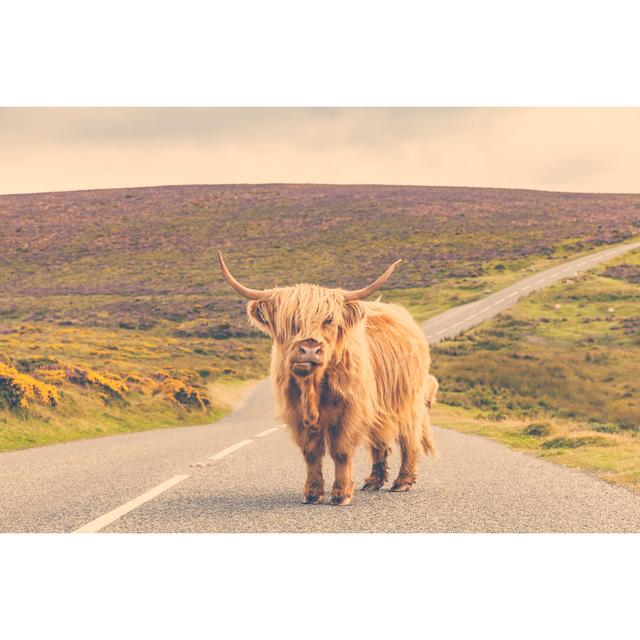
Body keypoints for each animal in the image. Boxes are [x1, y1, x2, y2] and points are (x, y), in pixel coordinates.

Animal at [219, 250, 436, 504]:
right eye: (291, 320)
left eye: (329, 320)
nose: (310, 349)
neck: (312, 387)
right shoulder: (297, 413)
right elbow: (311, 452)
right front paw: (312, 493)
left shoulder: (350, 410)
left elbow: (341, 451)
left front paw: (341, 494)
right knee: (378, 440)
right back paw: (373, 481)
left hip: (407, 401)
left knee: (409, 437)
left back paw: (402, 482)